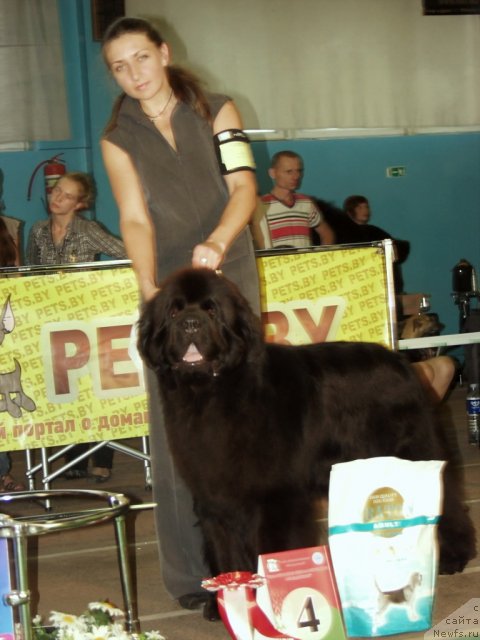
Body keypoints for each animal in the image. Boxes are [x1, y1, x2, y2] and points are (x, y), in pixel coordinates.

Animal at [139, 268, 476, 592]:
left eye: (211, 309)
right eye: (173, 311)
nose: (190, 323)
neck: (214, 394)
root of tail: (401, 360)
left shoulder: (273, 497)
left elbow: (271, 548)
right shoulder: (214, 496)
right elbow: (225, 551)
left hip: (409, 451)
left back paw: (452, 556)